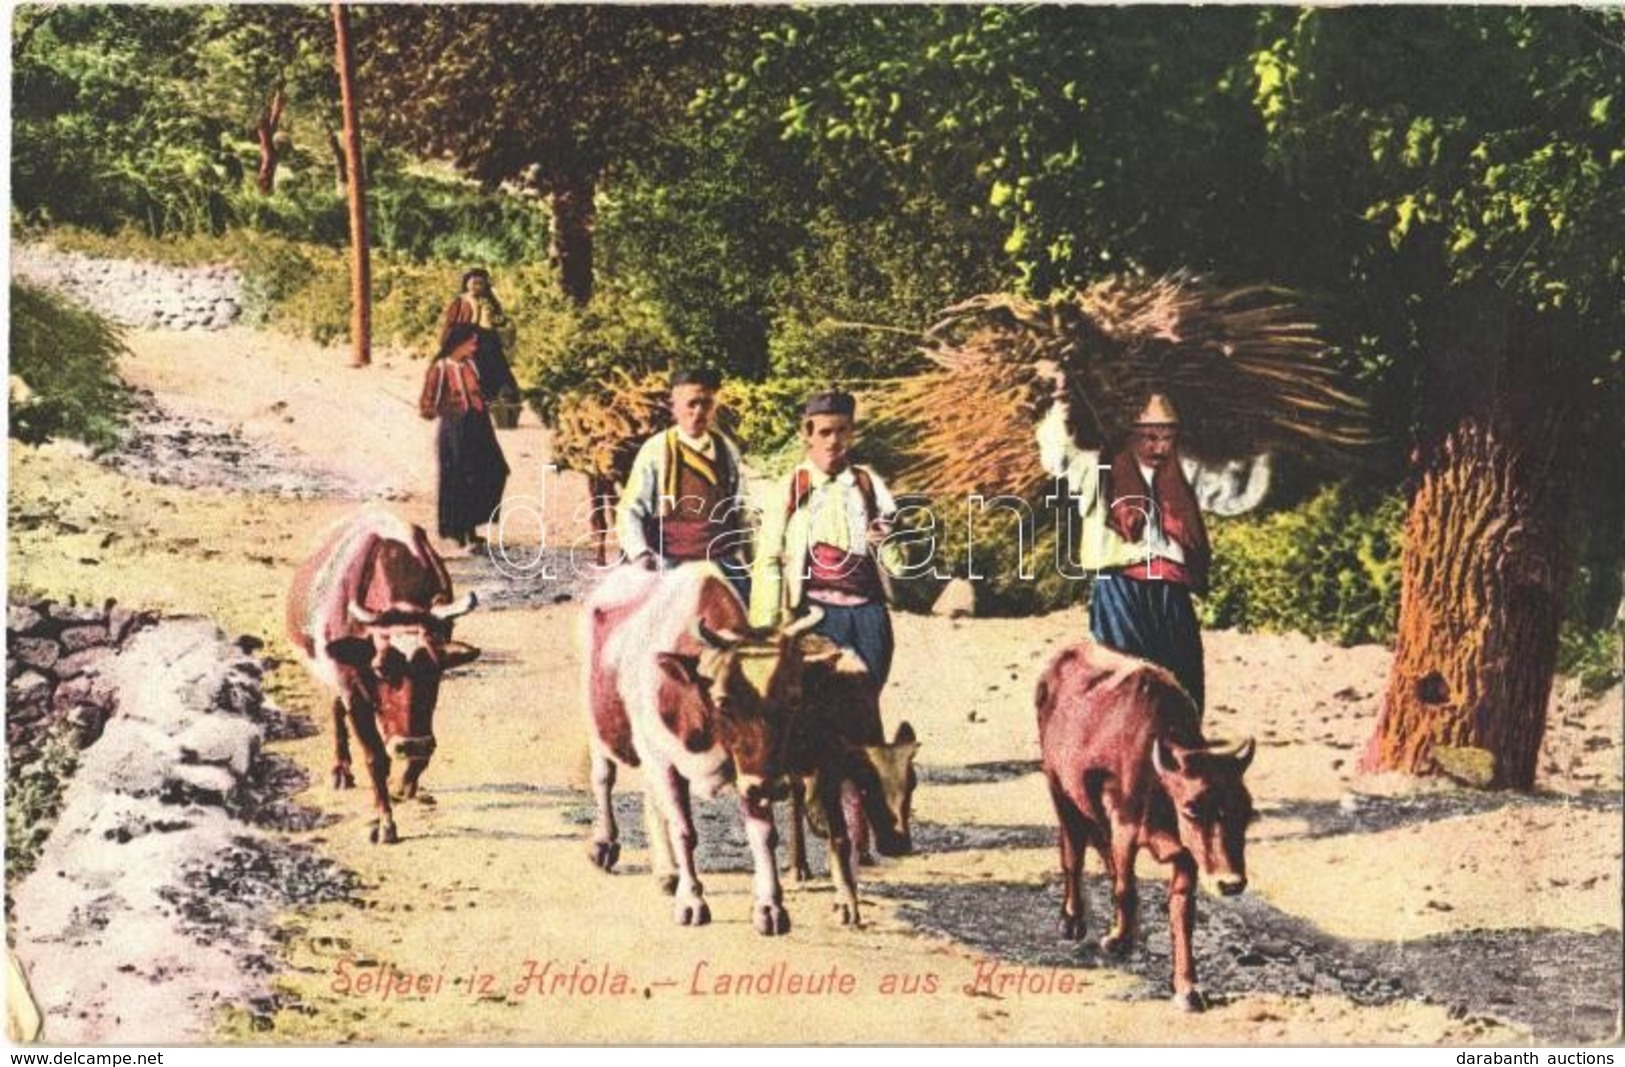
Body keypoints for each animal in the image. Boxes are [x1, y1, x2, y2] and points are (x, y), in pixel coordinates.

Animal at [287, 506, 477, 838]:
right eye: (380, 668)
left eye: (437, 667)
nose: (411, 743)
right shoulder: (352, 689)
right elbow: (376, 757)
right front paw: (385, 821)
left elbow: (422, 756)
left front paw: (405, 785)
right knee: (337, 710)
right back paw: (340, 770)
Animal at [1040, 636, 1254, 1013]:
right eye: (1191, 809)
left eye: (1247, 811)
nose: (1230, 883)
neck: (1159, 780)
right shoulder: (1125, 830)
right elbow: (1126, 889)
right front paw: (1118, 939)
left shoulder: (1187, 857)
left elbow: (1181, 915)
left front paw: (1188, 989)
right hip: (1059, 790)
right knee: (1073, 855)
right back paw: (1073, 921)